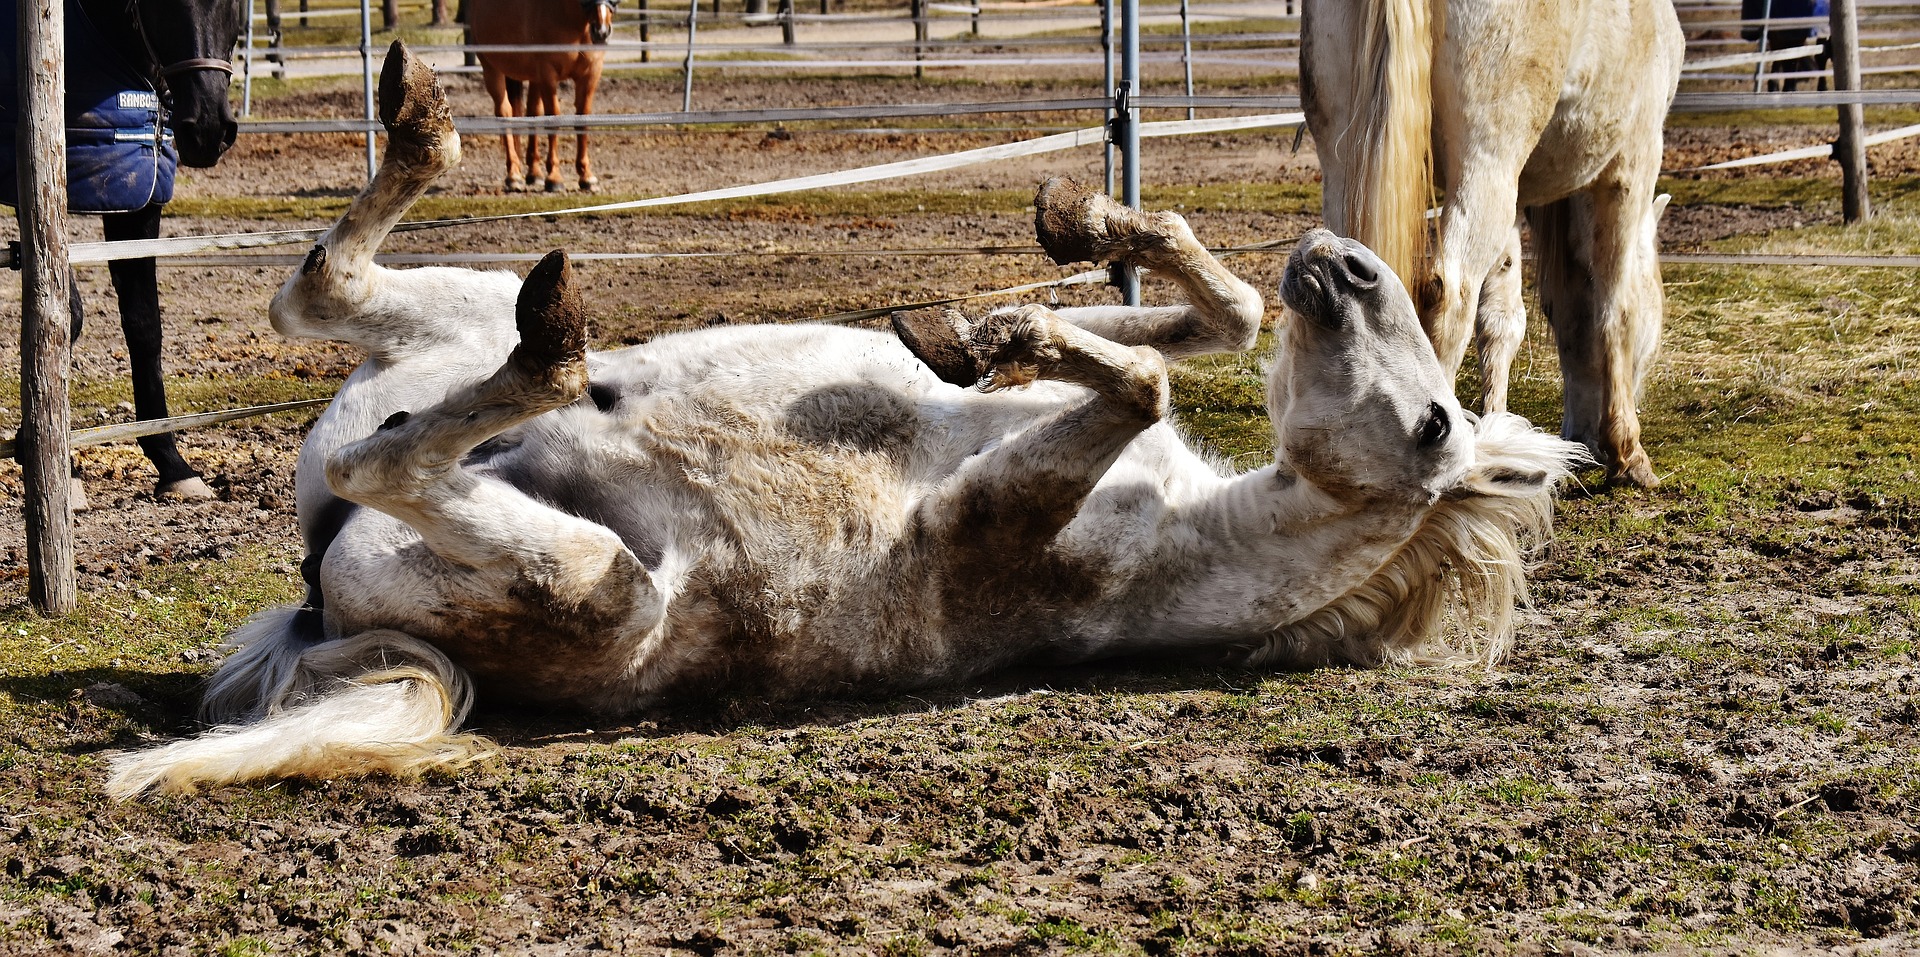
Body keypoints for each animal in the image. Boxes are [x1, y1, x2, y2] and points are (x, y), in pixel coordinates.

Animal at [0, 0, 244, 502]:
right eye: (166, 4)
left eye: (234, 4)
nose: (208, 130)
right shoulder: (35, 196)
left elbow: (145, 325)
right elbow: (65, 317)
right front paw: (54, 462)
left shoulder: (138, 198)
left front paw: (173, 464)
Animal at [105, 43, 1586, 798]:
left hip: (592, 582)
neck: (1173, 531)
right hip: (450, 322)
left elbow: (1148, 375)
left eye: (1438, 427)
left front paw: (992, 326)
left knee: (389, 435)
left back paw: (551, 340)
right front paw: (1058, 249)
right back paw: (425, 126)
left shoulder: (1003, 507)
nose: (1350, 262)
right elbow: (1197, 326)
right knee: (320, 292)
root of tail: (321, 591)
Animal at [467, 0, 614, 192]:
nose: (601, 31)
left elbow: (582, 120)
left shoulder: (590, 74)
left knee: (532, 112)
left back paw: (534, 173)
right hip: (492, 69)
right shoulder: (548, 75)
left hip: (533, 77)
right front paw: (554, 178)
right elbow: (554, 119)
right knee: (504, 113)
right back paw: (513, 175)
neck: (574, 20)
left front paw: (587, 177)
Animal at [1300, 0, 1685, 488]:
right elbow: (1616, 309)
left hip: (1346, 159)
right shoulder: (1627, 169)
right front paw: (1628, 454)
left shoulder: (1524, 198)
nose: (1589, 444)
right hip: (1486, 165)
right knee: (1449, 299)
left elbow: (1519, 318)